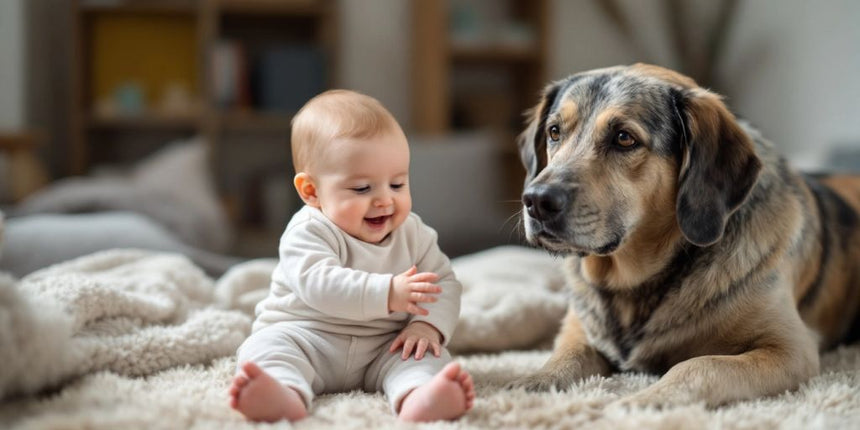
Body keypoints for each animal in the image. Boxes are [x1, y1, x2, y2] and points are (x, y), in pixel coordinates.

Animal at [510, 63, 860, 406]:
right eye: (554, 132)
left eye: (624, 138)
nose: (536, 200)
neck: (629, 285)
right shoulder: (578, 328)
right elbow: (565, 356)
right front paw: (533, 382)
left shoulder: (790, 348)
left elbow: (700, 365)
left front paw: (646, 399)